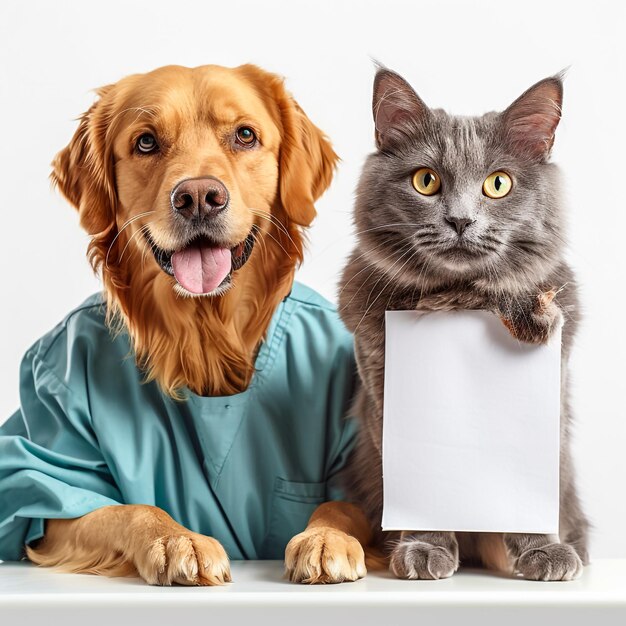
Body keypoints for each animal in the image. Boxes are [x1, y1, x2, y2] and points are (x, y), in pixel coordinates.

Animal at [11, 66, 342, 584]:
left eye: (245, 135)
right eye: (146, 142)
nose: (200, 197)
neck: (207, 333)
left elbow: (343, 505)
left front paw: (326, 538)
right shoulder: (56, 490)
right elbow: (128, 508)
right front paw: (176, 539)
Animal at [336, 66, 584, 576]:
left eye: (498, 184)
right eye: (425, 181)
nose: (460, 221)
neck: (461, 299)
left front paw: (542, 551)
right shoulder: (383, 390)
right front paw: (425, 546)